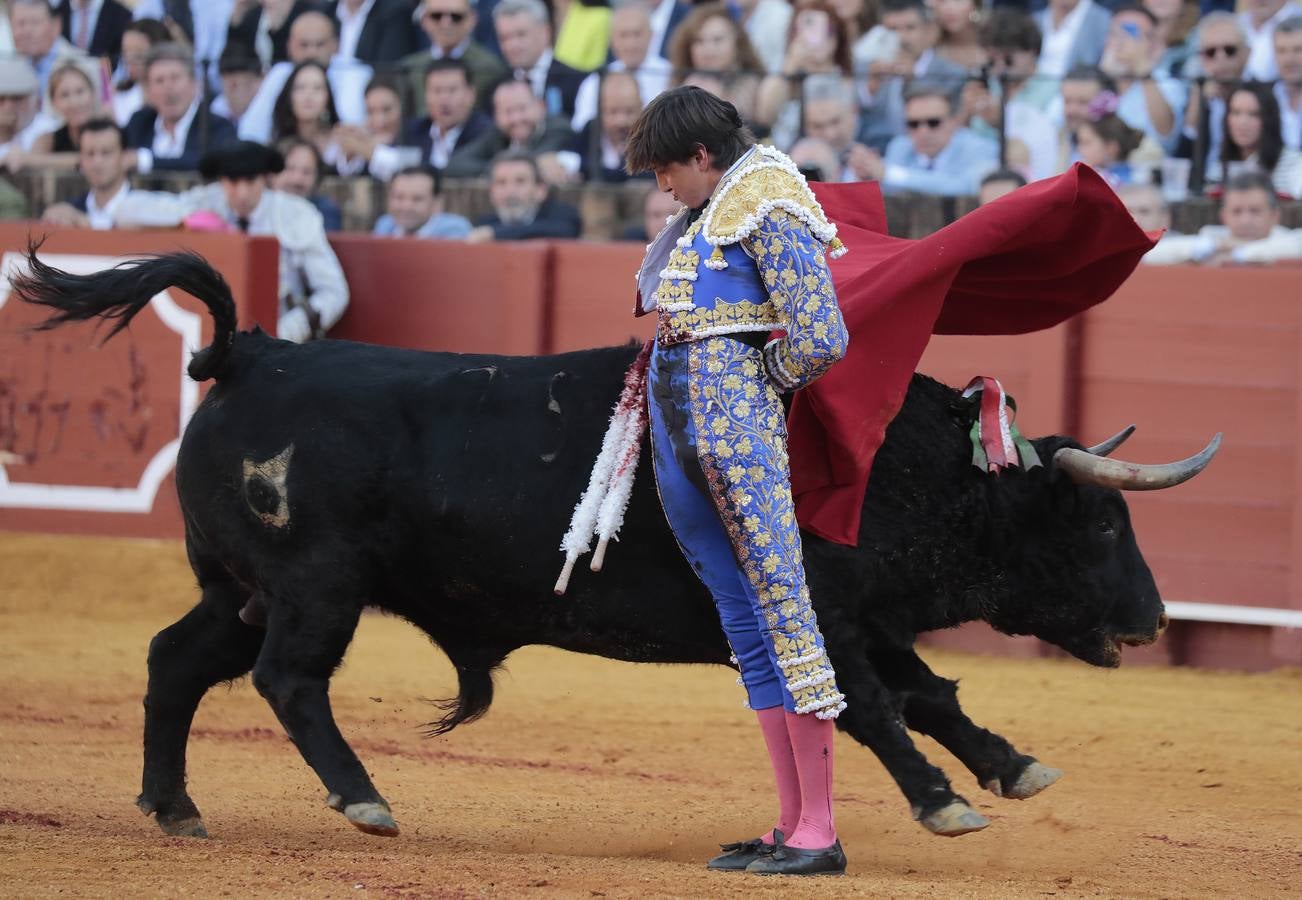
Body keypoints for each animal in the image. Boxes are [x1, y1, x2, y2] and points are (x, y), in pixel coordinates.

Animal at [15, 253, 1218, 843]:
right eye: (1101, 522)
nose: (1154, 619)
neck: (896, 462)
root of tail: (251, 351)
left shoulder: (861, 616)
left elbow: (928, 693)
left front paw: (1011, 766)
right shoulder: (825, 617)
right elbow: (873, 706)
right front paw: (942, 802)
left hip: (242, 588)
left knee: (177, 661)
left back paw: (175, 809)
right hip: (316, 586)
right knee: (287, 681)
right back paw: (363, 800)